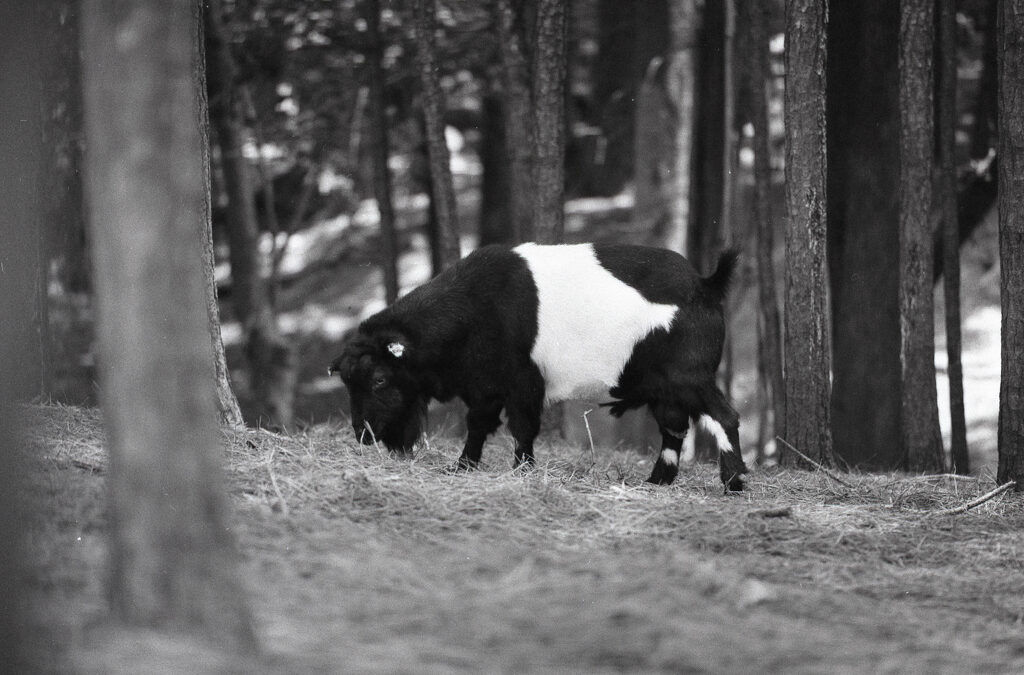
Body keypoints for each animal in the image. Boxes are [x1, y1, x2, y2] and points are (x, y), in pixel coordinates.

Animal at [331, 242, 749, 491]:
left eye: (380, 379)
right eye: (349, 383)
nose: (363, 433)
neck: (474, 308)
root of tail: (705, 283)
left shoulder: (522, 383)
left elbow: (522, 427)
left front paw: (523, 471)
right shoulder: (485, 386)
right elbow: (478, 425)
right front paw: (463, 467)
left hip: (690, 377)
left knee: (724, 416)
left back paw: (734, 481)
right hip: (664, 389)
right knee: (674, 428)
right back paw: (657, 481)